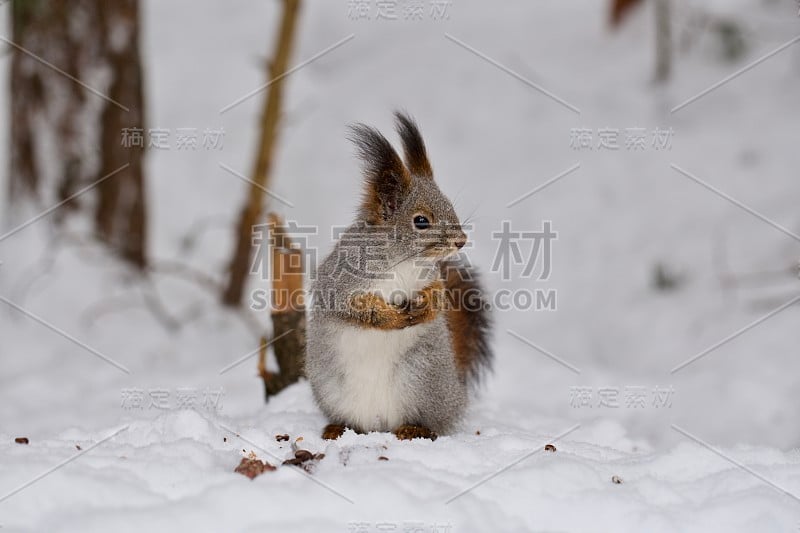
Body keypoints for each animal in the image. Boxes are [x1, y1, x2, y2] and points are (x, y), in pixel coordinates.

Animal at [308, 111, 490, 440]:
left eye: (450, 206)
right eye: (421, 221)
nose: (461, 240)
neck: (403, 261)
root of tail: (379, 424)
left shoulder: (431, 278)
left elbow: (438, 298)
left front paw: (423, 306)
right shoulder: (339, 280)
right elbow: (351, 306)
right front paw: (390, 317)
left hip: (424, 382)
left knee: (431, 423)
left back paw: (413, 429)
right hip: (332, 389)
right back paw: (338, 428)